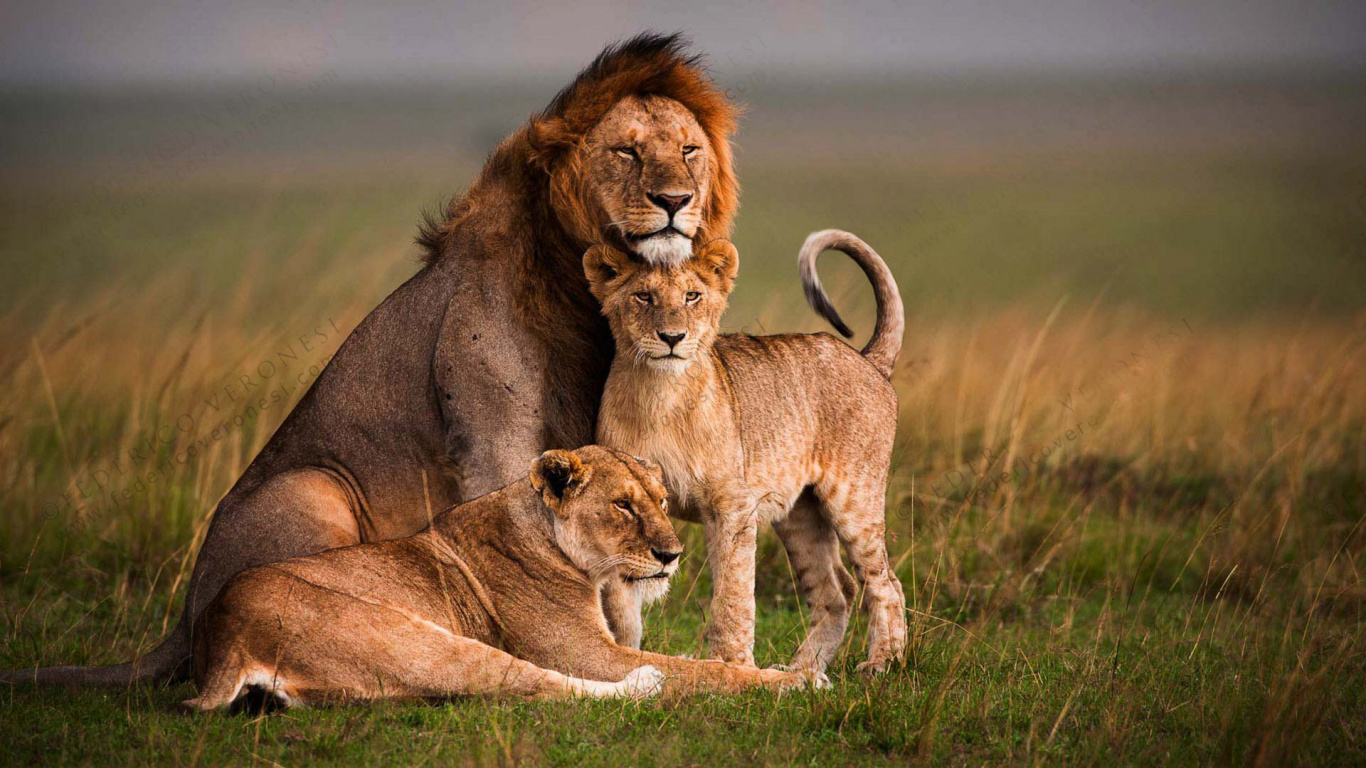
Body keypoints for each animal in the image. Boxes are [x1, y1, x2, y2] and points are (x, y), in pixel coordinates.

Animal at [4, 34, 740, 688]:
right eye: (626, 151)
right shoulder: (494, 439)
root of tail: (184, 620)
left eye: (688, 150)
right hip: (313, 488)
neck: (578, 283)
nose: (674, 201)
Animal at [183, 446, 819, 711]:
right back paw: (644, 685)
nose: (672, 554)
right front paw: (793, 680)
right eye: (622, 505)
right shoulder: (585, 652)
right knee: (535, 684)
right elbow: (702, 671)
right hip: (413, 639)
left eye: (661, 501)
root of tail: (221, 635)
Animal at [586, 232, 909, 675]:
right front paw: (624, 656)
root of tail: (866, 359)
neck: (660, 395)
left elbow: (733, 594)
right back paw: (802, 671)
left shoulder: (733, 506)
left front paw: (732, 663)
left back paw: (882, 663)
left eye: (692, 296)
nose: (672, 338)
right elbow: (621, 604)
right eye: (643, 296)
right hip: (799, 515)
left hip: (855, 498)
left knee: (885, 582)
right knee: (836, 590)